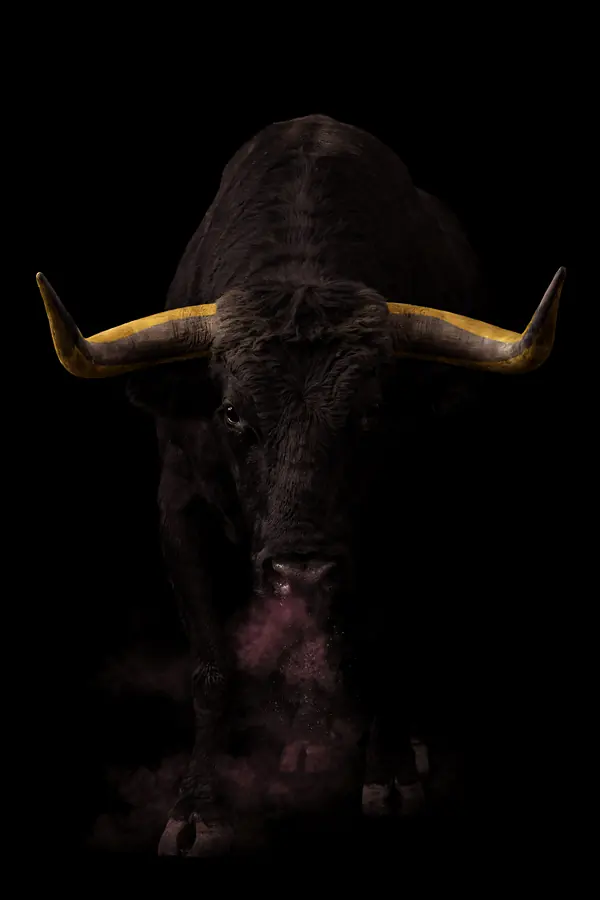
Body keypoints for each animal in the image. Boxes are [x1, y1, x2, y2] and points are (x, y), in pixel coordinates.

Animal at [38, 114, 565, 856]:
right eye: (233, 412)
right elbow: (212, 667)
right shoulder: (179, 510)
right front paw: (198, 810)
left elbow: (384, 637)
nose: (302, 566)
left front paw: (392, 773)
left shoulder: (408, 511)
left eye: (371, 411)